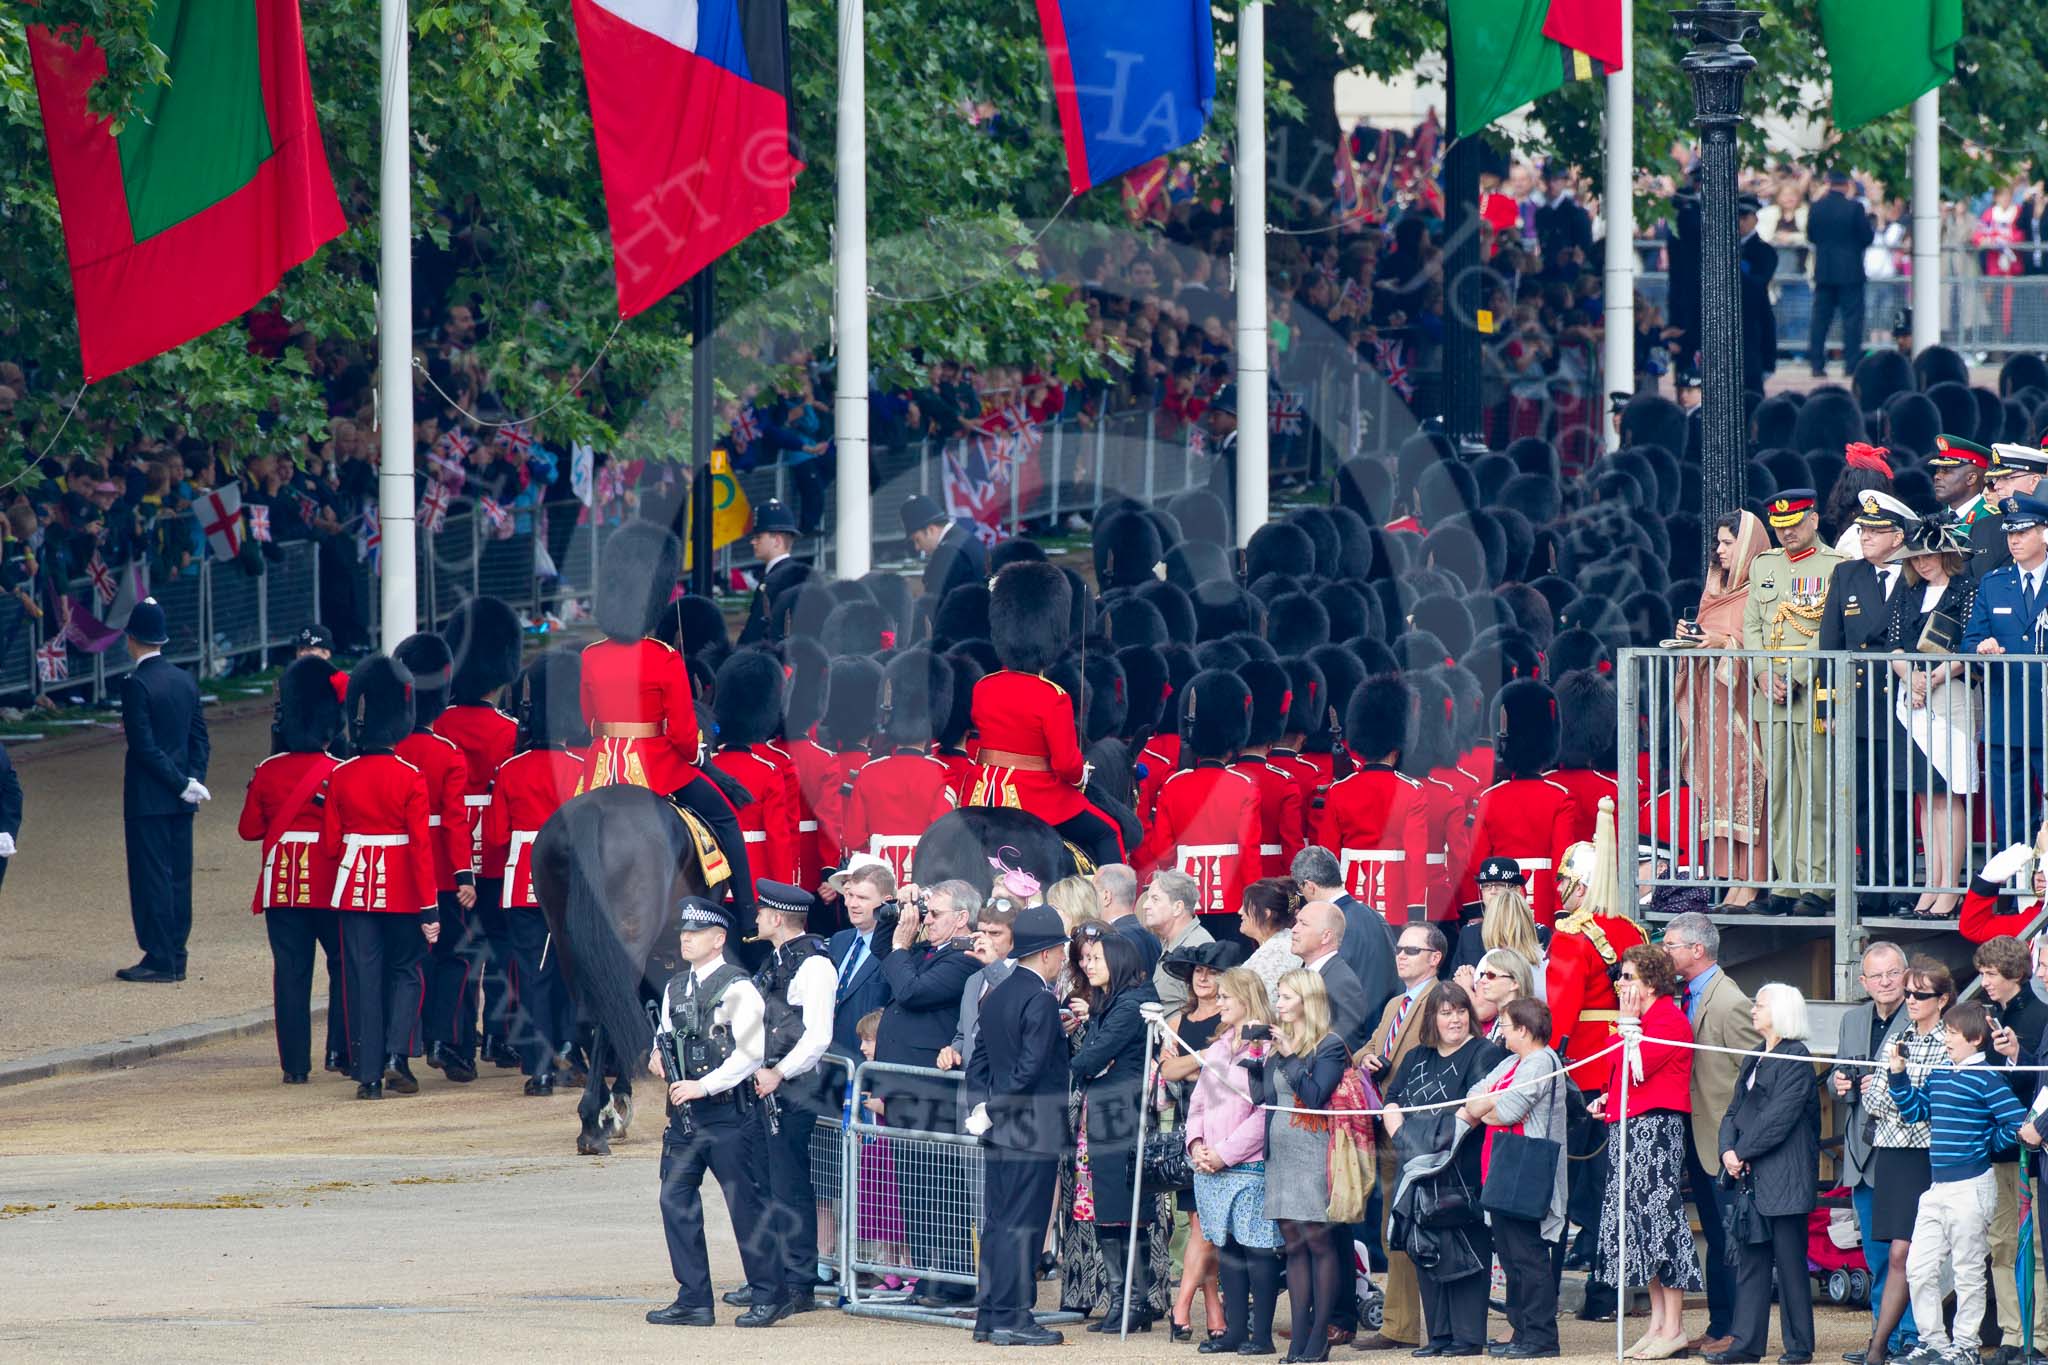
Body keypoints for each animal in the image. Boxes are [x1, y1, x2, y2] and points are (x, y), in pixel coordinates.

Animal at [532, 785, 708, 1162]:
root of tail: (592, 811)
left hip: (567, 940)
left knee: (591, 1015)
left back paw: (592, 1119)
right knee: (612, 1010)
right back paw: (597, 1122)